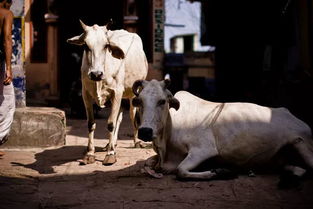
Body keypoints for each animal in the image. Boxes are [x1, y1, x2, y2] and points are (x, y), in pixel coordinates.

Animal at [66, 20, 147, 166]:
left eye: (106, 45)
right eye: (85, 45)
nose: (96, 74)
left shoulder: (117, 93)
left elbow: (110, 124)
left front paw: (111, 154)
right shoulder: (86, 95)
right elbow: (91, 124)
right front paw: (90, 154)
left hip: (134, 93)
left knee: (132, 116)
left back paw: (136, 141)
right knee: (119, 118)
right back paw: (111, 143)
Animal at [132, 79, 312, 183]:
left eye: (162, 101)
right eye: (139, 101)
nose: (145, 131)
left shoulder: (204, 149)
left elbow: (181, 170)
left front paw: (221, 172)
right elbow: (147, 164)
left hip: (301, 143)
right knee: (299, 169)